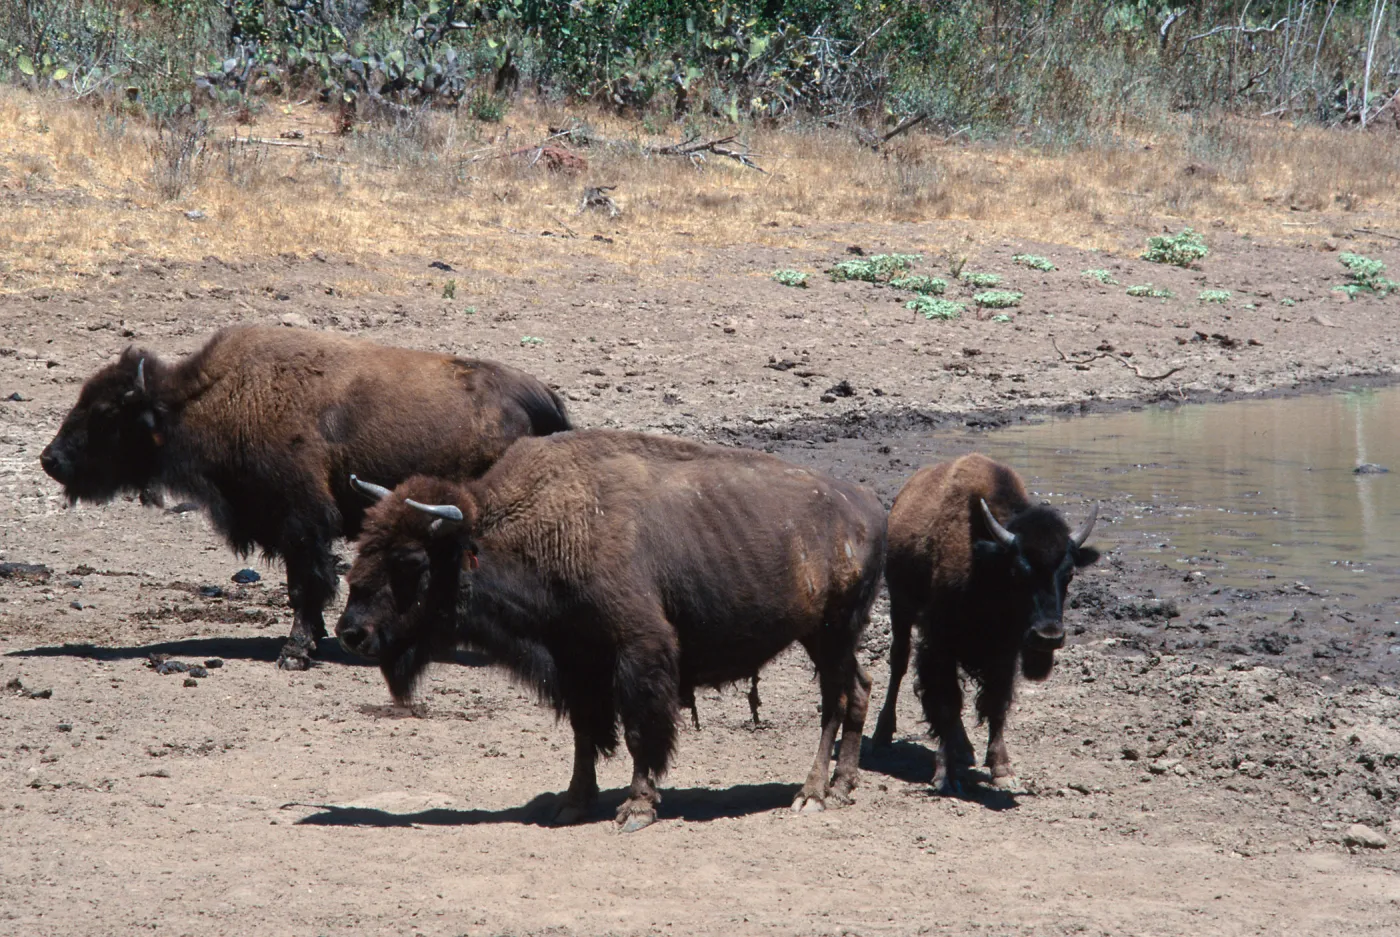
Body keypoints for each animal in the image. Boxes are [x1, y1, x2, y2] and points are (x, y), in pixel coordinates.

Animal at [40, 325, 569, 669]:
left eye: (107, 412)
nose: (51, 459)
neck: (212, 398)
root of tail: (538, 397)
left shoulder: (301, 522)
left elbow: (305, 586)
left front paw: (295, 653)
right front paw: (311, 641)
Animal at [336, 429, 886, 831]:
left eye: (411, 562)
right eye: (363, 544)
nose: (350, 633)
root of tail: (867, 504)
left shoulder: (639, 651)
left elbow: (642, 730)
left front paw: (636, 809)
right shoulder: (576, 663)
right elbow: (586, 732)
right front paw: (573, 803)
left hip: (832, 633)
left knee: (836, 701)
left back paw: (811, 795)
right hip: (827, 637)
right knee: (859, 689)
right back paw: (841, 788)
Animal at [871, 453, 1099, 793]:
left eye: (1069, 574)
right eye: (1017, 572)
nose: (1048, 636)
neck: (986, 567)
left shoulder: (1005, 652)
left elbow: (996, 702)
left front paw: (1002, 769)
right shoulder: (940, 643)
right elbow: (947, 701)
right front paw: (946, 775)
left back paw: (964, 748)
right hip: (900, 607)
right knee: (898, 664)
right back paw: (882, 734)